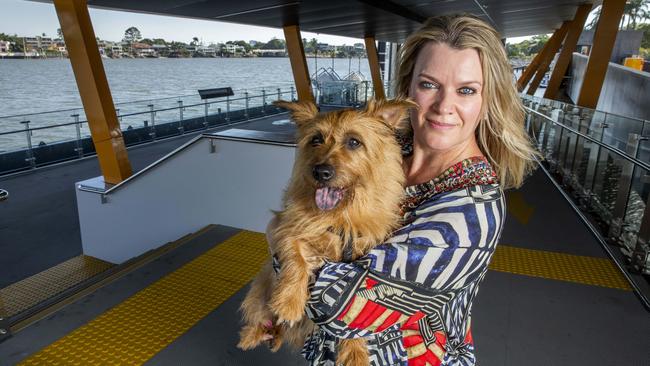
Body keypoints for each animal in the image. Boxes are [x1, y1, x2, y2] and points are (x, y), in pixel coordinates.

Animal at [238, 98, 416, 366]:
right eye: (315, 140)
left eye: (354, 142)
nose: (320, 172)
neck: (341, 216)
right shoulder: (288, 226)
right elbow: (296, 259)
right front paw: (289, 303)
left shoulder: (363, 263)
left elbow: (353, 317)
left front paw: (354, 352)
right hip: (260, 290)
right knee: (262, 317)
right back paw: (255, 334)